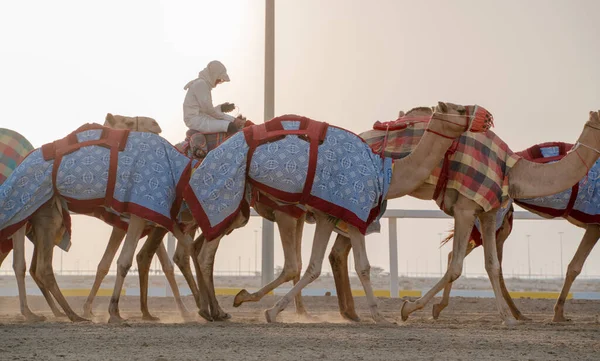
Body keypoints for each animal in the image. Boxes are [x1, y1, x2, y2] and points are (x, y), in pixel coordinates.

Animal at [185, 100, 494, 320]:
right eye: (459, 108)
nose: (487, 116)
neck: (386, 173)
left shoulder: (342, 216)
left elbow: (337, 267)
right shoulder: (340, 212)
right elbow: (332, 267)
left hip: (239, 205)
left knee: (202, 250)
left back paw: (213, 310)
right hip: (230, 195)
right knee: (205, 253)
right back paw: (216, 311)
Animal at [326, 109, 600, 324]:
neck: (512, 169)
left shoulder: (488, 211)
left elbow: (492, 265)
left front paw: (506, 318)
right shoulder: (466, 209)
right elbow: (456, 266)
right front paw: (409, 308)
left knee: (339, 249)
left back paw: (350, 314)